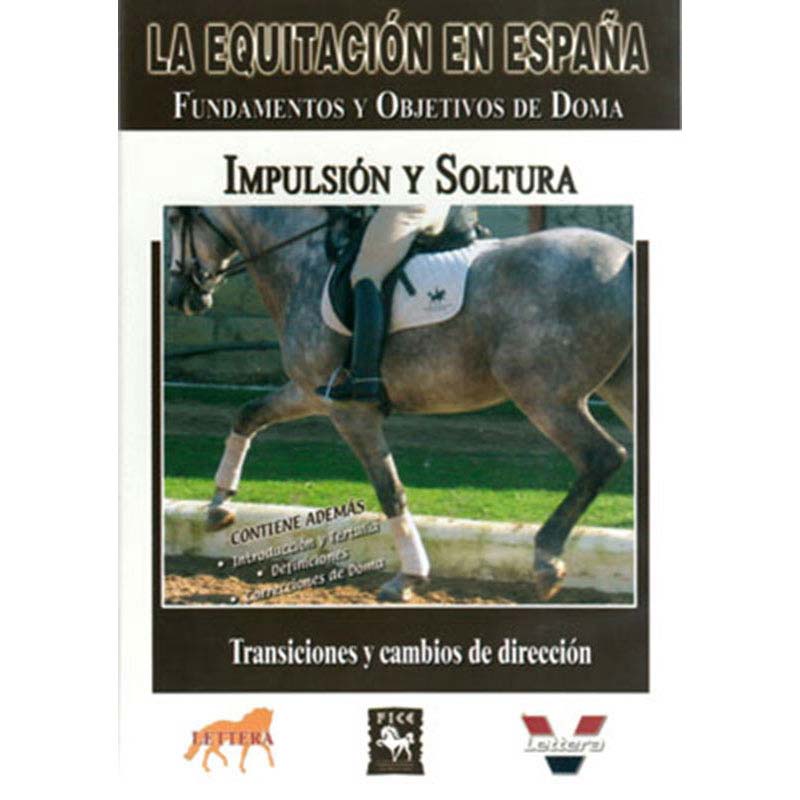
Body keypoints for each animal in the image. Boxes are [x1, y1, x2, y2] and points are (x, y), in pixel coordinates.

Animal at [165, 206, 634, 602]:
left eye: (173, 220)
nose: (178, 298)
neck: (302, 261)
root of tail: (626, 254)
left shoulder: (351, 412)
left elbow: (390, 491)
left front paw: (407, 577)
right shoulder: (311, 391)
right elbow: (248, 414)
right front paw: (219, 506)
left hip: (543, 394)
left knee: (602, 457)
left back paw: (546, 560)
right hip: (616, 389)